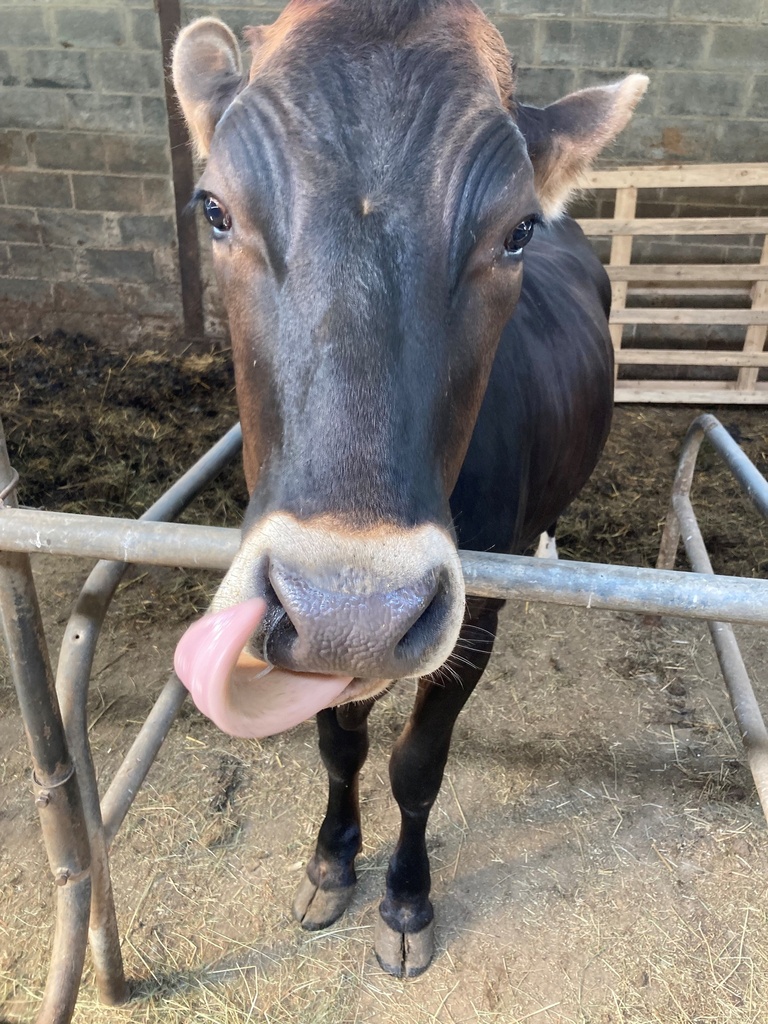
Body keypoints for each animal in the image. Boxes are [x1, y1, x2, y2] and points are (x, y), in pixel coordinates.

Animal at [169, 0, 651, 974]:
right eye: (214, 208)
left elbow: (417, 764)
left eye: (517, 231)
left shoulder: (478, 615)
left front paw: (405, 901)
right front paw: (330, 864)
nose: (352, 610)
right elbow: (339, 743)